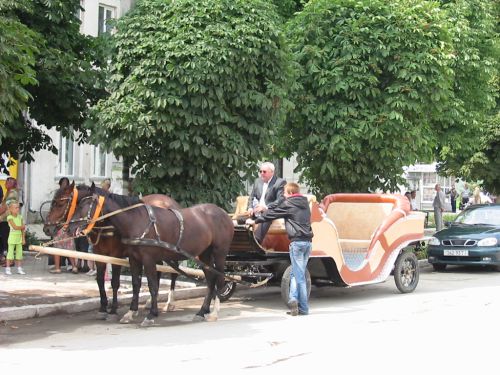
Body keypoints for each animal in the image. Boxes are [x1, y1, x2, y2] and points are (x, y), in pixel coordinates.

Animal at [43, 181, 180, 322]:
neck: (106, 221)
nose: (46, 228)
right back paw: (149, 302)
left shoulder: (116, 255)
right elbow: (99, 280)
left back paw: (169, 302)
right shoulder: (99, 254)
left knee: (174, 273)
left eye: (60, 203)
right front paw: (103, 308)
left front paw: (113, 309)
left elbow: (115, 282)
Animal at [67, 184, 236, 326]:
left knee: (220, 279)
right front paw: (131, 312)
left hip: (219, 254)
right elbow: (136, 284)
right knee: (210, 280)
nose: (69, 229)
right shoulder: (134, 259)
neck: (136, 220)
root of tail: (223, 213)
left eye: (82, 205)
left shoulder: (148, 259)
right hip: (204, 255)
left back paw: (214, 312)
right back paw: (202, 311)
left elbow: (152, 285)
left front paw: (151, 314)